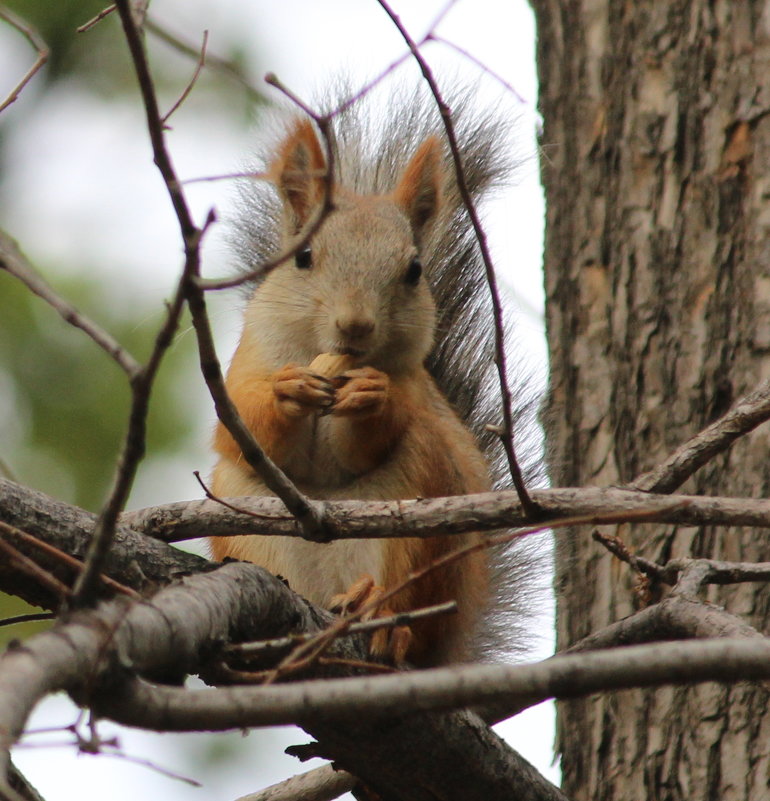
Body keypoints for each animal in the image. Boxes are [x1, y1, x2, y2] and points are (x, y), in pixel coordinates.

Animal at [208, 84, 536, 664]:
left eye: (414, 270)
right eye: (304, 257)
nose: (355, 325)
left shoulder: (412, 385)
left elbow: (373, 435)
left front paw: (371, 396)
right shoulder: (245, 367)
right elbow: (240, 429)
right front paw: (288, 391)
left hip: (420, 514)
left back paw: (380, 618)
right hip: (245, 512)